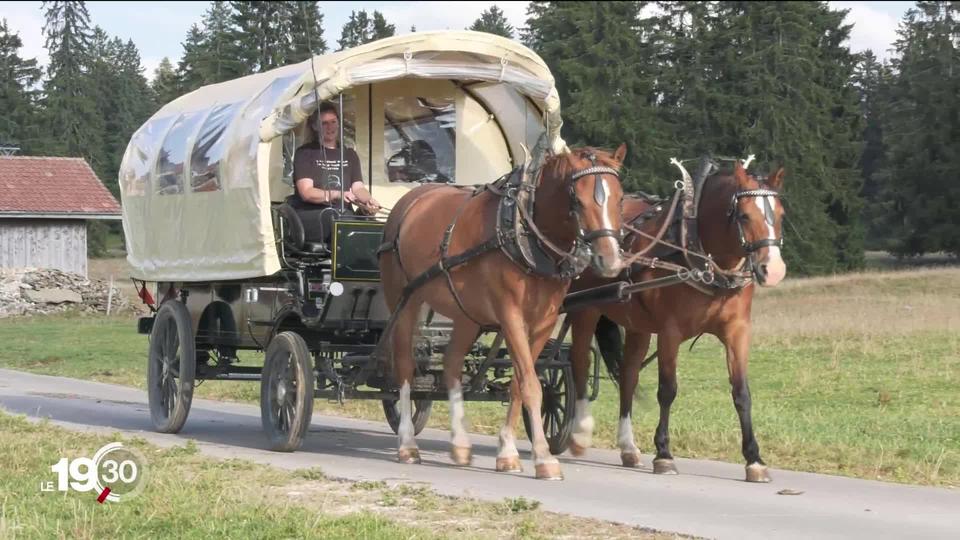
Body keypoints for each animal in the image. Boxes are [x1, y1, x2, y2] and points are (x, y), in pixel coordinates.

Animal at [382, 146, 632, 478]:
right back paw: (408, 445)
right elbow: (531, 385)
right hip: (404, 302)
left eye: (620, 198)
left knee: (451, 364)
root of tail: (410, 199)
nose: (610, 260)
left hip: (466, 314)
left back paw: (460, 444)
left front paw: (508, 452)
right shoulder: (510, 316)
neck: (524, 234)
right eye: (577, 200)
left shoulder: (542, 322)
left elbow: (518, 383)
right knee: (405, 367)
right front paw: (543, 458)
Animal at [568, 158, 784, 484]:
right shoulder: (670, 332)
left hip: (637, 325)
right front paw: (664, 454)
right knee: (579, 362)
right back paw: (579, 434)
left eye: (781, 214)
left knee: (628, 375)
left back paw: (628, 447)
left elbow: (741, 392)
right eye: (745, 215)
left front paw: (754, 459)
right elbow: (667, 391)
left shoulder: (737, 331)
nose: (774, 270)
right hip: (585, 311)